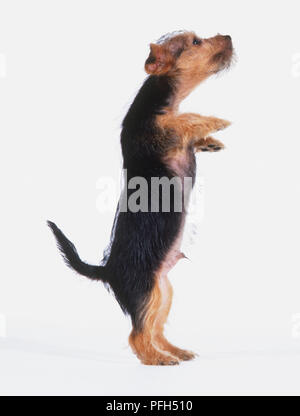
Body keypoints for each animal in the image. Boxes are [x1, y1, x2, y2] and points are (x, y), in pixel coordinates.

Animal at [48, 30, 233, 366]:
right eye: (196, 42)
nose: (228, 35)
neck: (163, 99)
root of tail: (107, 270)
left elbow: (186, 127)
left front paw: (210, 141)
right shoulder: (157, 132)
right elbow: (181, 120)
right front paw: (213, 121)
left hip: (164, 292)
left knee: (153, 330)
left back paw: (175, 350)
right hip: (146, 292)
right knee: (137, 335)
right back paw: (157, 359)